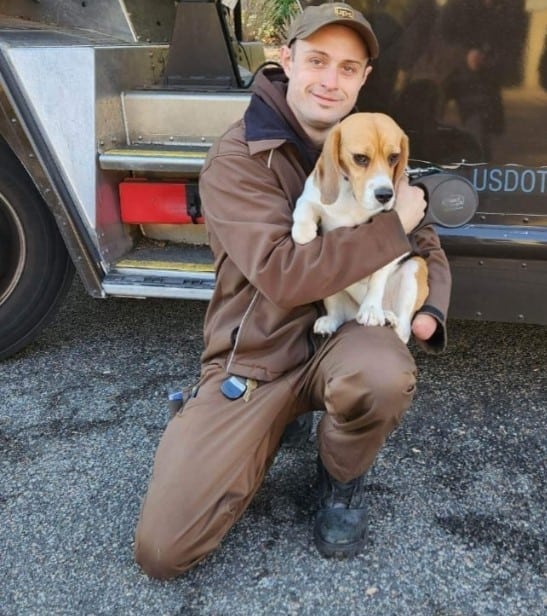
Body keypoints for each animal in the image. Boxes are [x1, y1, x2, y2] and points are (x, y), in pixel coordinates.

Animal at [294, 110, 430, 342]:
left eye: (394, 157)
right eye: (360, 158)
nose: (385, 195)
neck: (353, 197)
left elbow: (377, 276)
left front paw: (371, 310)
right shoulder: (311, 195)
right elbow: (304, 206)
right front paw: (303, 231)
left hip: (416, 268)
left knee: (403, 330)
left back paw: (388, 318)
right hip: (328, 285)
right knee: (337, 312)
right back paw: (331, 321)